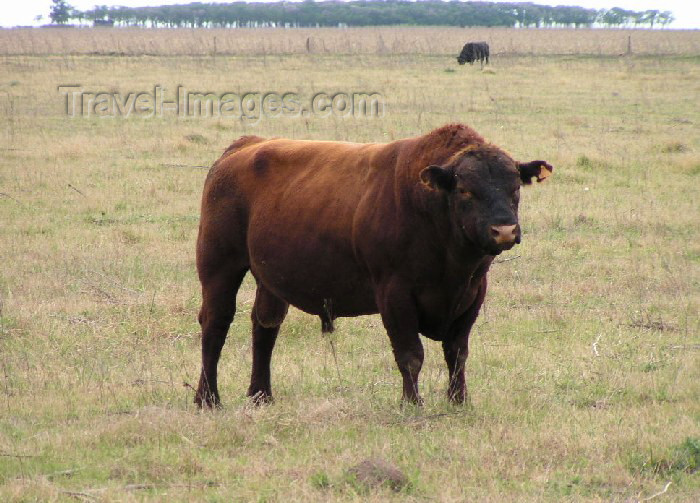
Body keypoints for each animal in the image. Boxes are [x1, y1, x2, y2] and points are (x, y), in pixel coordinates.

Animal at [193, 124, 552, 408]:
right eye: (465, 190)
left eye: (515, 188)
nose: (504, 230)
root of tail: (246, 145)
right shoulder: (394, 293)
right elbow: (410, 355)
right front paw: (412, 403)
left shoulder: (473, 292)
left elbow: (457, 353)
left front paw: (459, 401)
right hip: (219, 267)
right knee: (216, 324)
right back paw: (208, 398)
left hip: (269, 279)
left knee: (265, 326)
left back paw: (261, 395)